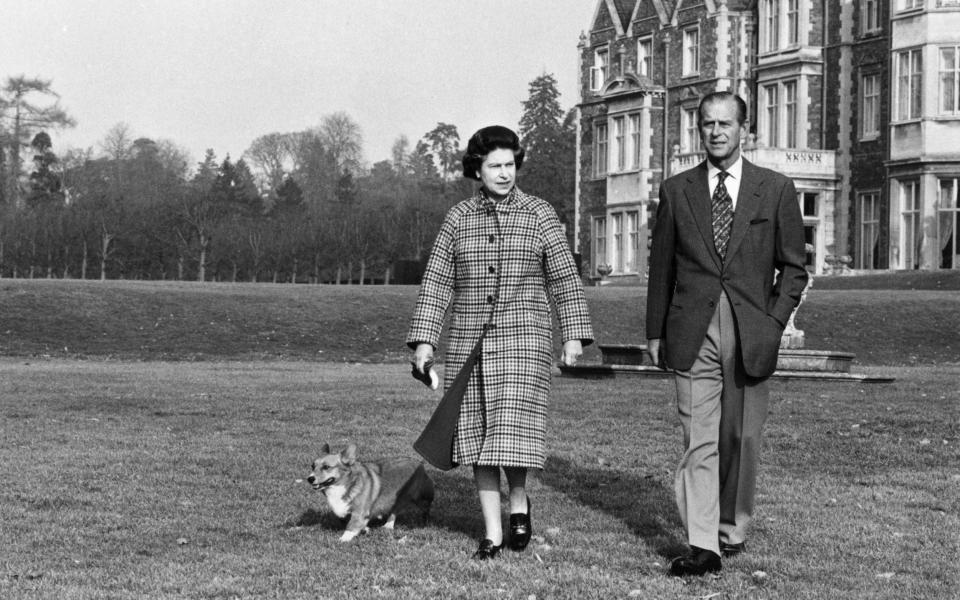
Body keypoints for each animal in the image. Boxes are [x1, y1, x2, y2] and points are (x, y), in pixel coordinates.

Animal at [308, 442, 436, 540]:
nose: (309, 479)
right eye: (312, 466)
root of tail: (420, 464)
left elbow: (351, 526)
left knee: (416, 509)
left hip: (411, 497)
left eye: (326, 467)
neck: (345, 484)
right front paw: (364, 529)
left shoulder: (359, 512)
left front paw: (343, 539)